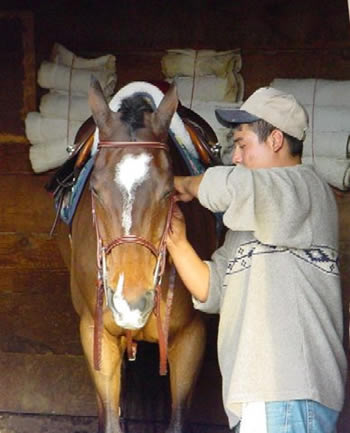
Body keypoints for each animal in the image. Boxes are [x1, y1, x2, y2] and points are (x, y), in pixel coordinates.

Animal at [53, 78, 217, 432]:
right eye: (95, 190)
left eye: (169, 191)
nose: (130, 302)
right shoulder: (96, 334)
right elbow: (111, 420)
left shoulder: (191, 338)